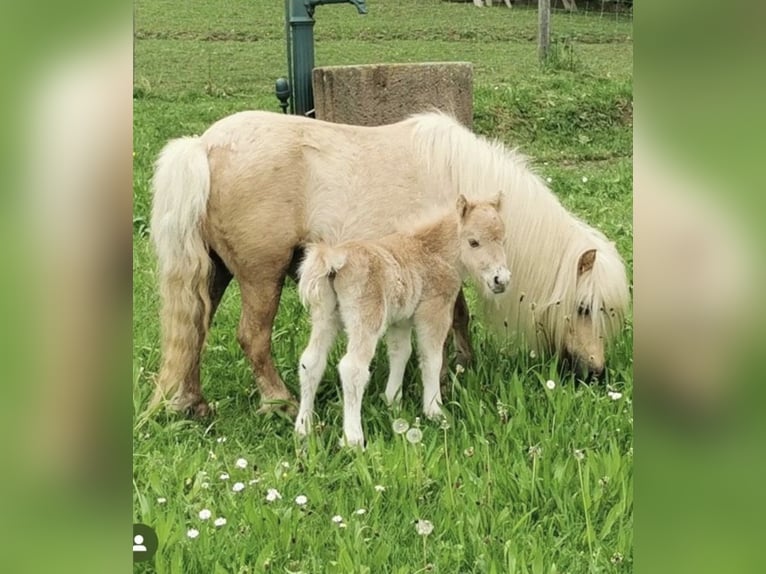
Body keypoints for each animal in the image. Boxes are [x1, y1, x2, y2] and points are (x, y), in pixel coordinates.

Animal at [148, 110, 632, 416]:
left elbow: (458, 318)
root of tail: (203, 147)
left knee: (194, 330)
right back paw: (279, 404)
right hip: (260, 277)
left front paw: (463, 365)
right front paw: (453, 371)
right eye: (584, 308)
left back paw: (191, 404)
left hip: (215, 273)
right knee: (251, 338)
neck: (458, 181)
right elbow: (450, 322)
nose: (595, 373)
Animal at [296, 196, 512, 448]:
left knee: (311, 361)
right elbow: (431, 358)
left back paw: (303, 428)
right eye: (474, 242)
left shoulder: (401, 320)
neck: (432, 251)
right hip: (366, 319)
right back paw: (353, 439)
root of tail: (334, 260)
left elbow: (401, 353)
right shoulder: (434, 309)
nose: (501, 280)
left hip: (325, 316)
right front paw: (434, 411)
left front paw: (393, 401)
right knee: (353, 368)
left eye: (503, 240)